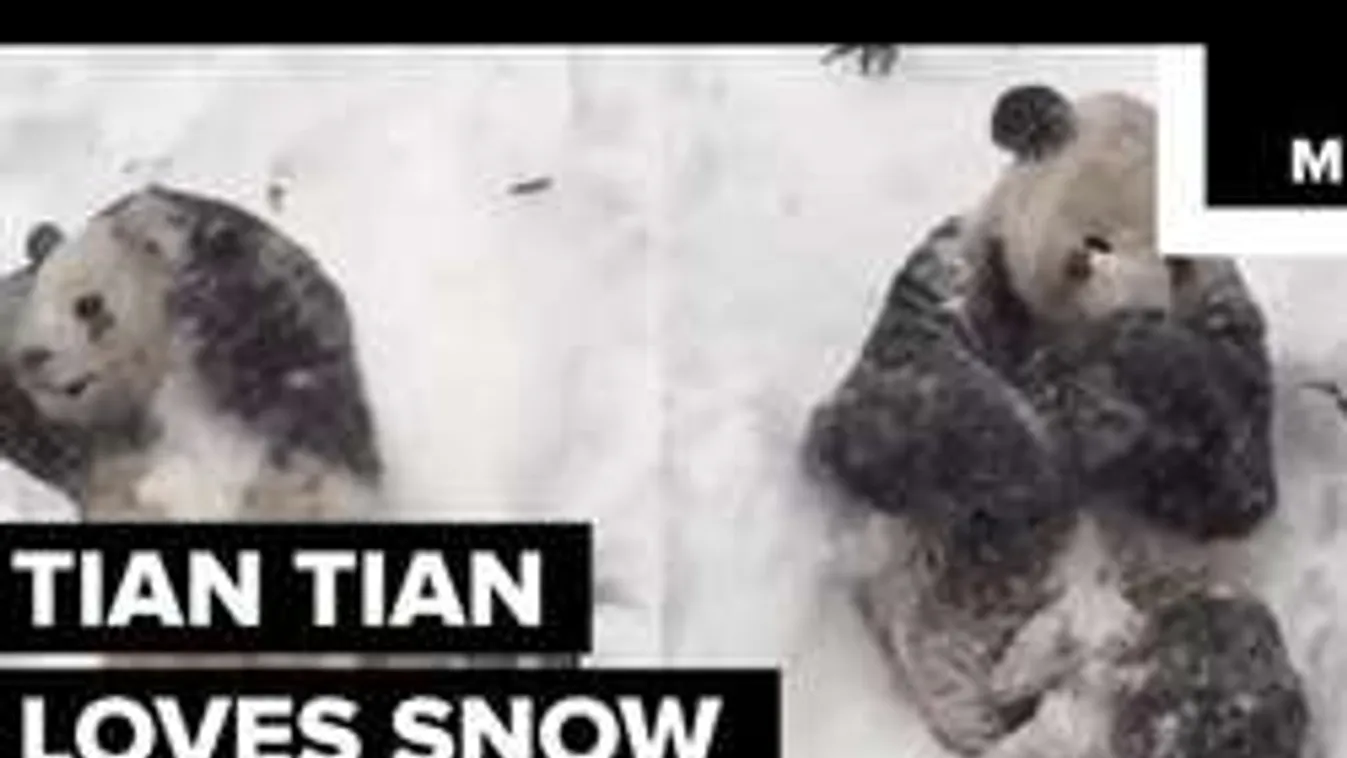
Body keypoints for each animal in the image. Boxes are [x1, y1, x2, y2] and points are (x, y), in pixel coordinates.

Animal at [804, 85, 1308, 757]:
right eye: (1093, 246)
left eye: (1179, 260)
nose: (1140, 310)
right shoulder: (948, 281)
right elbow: (881, 415)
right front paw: (1033, 468)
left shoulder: (1225, 322)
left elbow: (1237, 484)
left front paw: (1133, 366)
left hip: (1161, 600)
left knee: (1223, 649)